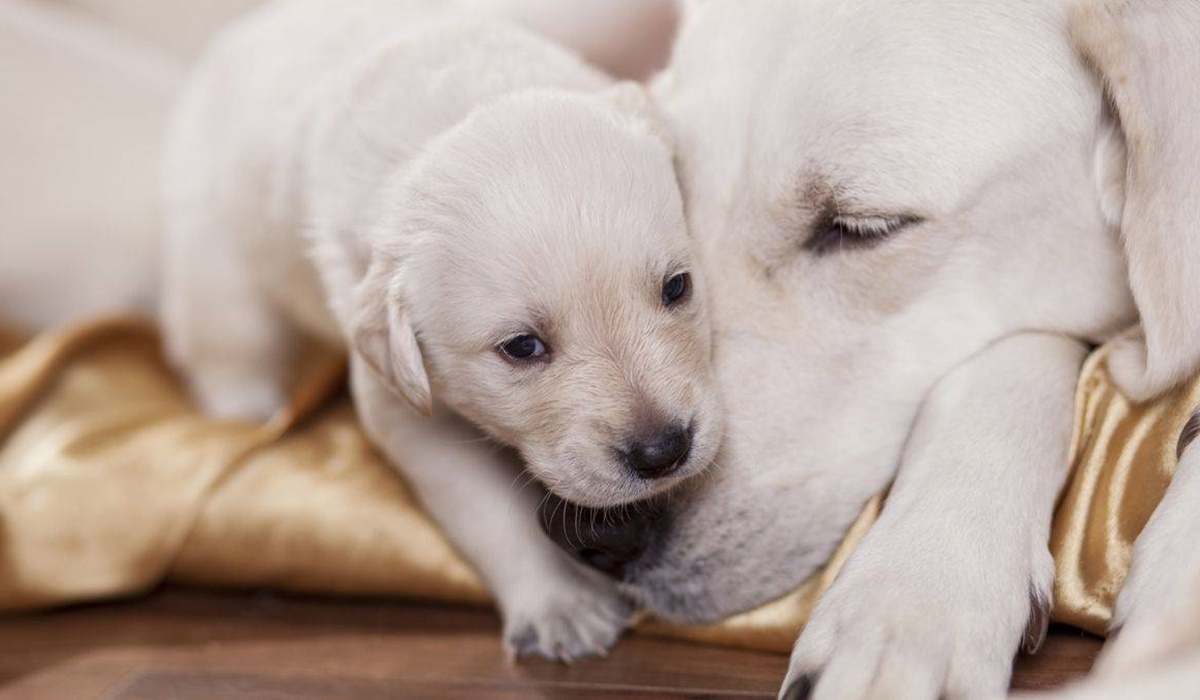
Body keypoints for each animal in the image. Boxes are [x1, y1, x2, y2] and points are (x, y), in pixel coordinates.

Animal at [163, 0, 715, 662]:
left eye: (677, 288)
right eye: (522, 347)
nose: (663, 452)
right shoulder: (402, 403)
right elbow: (488, 510)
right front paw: (559, 604)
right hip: (217, 260)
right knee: (225, 344)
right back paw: (247, 409)